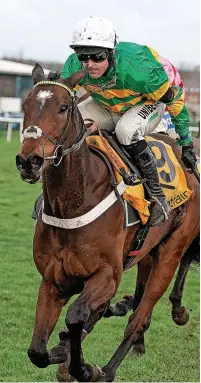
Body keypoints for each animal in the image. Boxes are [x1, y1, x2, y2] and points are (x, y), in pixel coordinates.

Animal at [15, 63, 199, 380]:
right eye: (25, 105)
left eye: (63, 108)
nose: (29, 161)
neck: (73, 205)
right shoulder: (52, 281)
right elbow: (37, 350)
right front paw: (62, 351)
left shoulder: (107, 275)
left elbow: (76, 316)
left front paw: (82, 366)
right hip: (146, 252)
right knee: (134, 300)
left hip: (169, 253)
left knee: (140, 318)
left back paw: (108, 367)